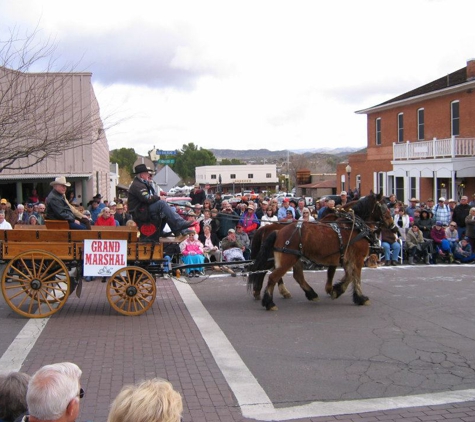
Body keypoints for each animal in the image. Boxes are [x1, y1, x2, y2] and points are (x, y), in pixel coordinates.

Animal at [253, 194, 394, 310]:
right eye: (384, 207)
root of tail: (277, 231)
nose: (392, 225)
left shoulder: (344, 258)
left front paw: (336, 290)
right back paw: (269, 302)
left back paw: (310, 294)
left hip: (294, 258)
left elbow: (348, 275)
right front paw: (360, 298)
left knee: (295, 276)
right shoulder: (357, 258)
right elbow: (355, 276)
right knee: (272, 276)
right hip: (288, 259)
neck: (353, 226)